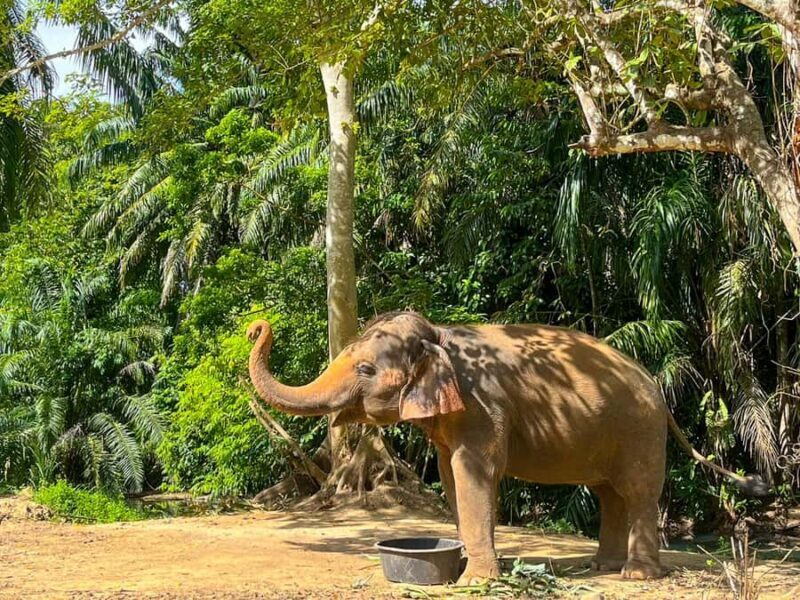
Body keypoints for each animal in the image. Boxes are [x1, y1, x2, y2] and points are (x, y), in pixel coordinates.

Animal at [247, 311, 767, 583]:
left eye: (366, 370)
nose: (257, 326)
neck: (440, 333)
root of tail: (657, 387)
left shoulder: (484, 405)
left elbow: (473, 472)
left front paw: (475, 581)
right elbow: (451, 476)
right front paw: (460, 567)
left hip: (639, 430)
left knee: (637, 492)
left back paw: (635, 577)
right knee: (608, 495)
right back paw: (600, 565)